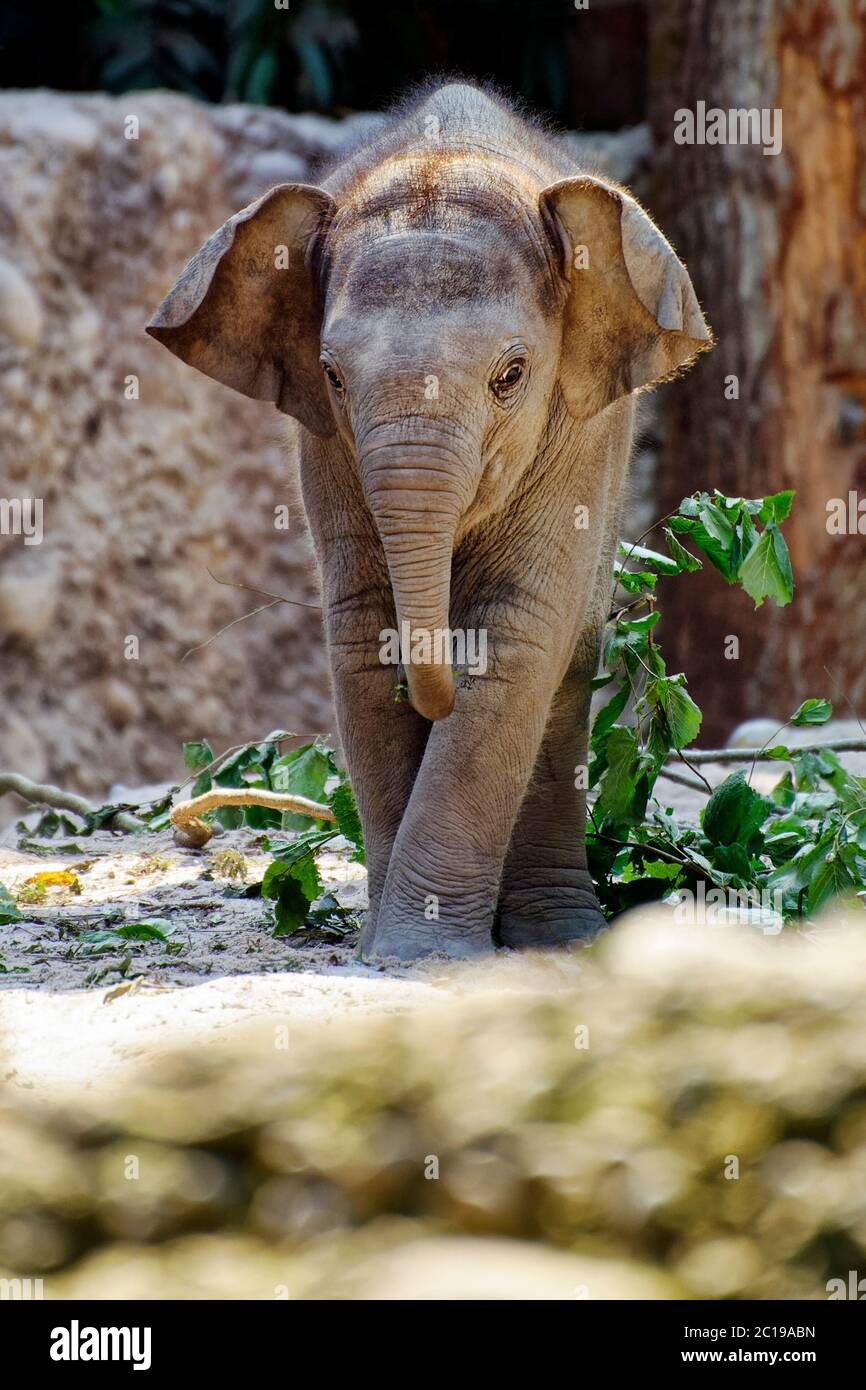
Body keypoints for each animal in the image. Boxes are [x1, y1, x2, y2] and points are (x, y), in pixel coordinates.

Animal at [147, 81, 711, 962]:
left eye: (511, 375)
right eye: (333, 377)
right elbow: (361, 634)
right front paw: (390, 950)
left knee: (567, 663)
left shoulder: (582, 434)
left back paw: (559, 937)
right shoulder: (328, 448)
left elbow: (514, 634)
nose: (432, 695)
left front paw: (423, 957)